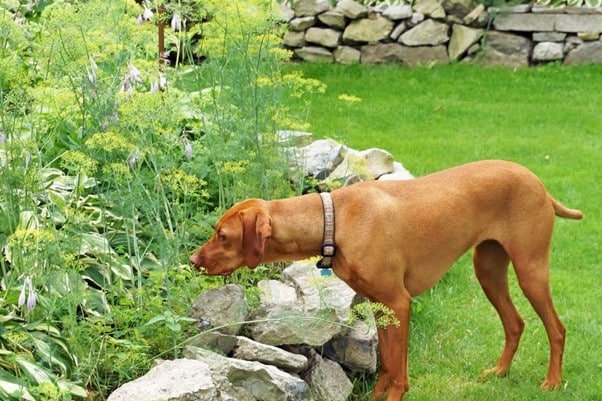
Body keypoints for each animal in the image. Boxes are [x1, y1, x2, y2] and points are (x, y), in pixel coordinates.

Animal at [189, 159, 580, 400]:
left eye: (222, 236)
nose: (192, 260)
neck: (334, 221)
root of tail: (538, 183)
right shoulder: (380, 307)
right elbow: (388, 363)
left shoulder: (398, 303)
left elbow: (398, 368)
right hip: (488, 270)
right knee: (515, 323)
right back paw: (499, 372)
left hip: (530, 270)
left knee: (557, 329)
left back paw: (552, 382)